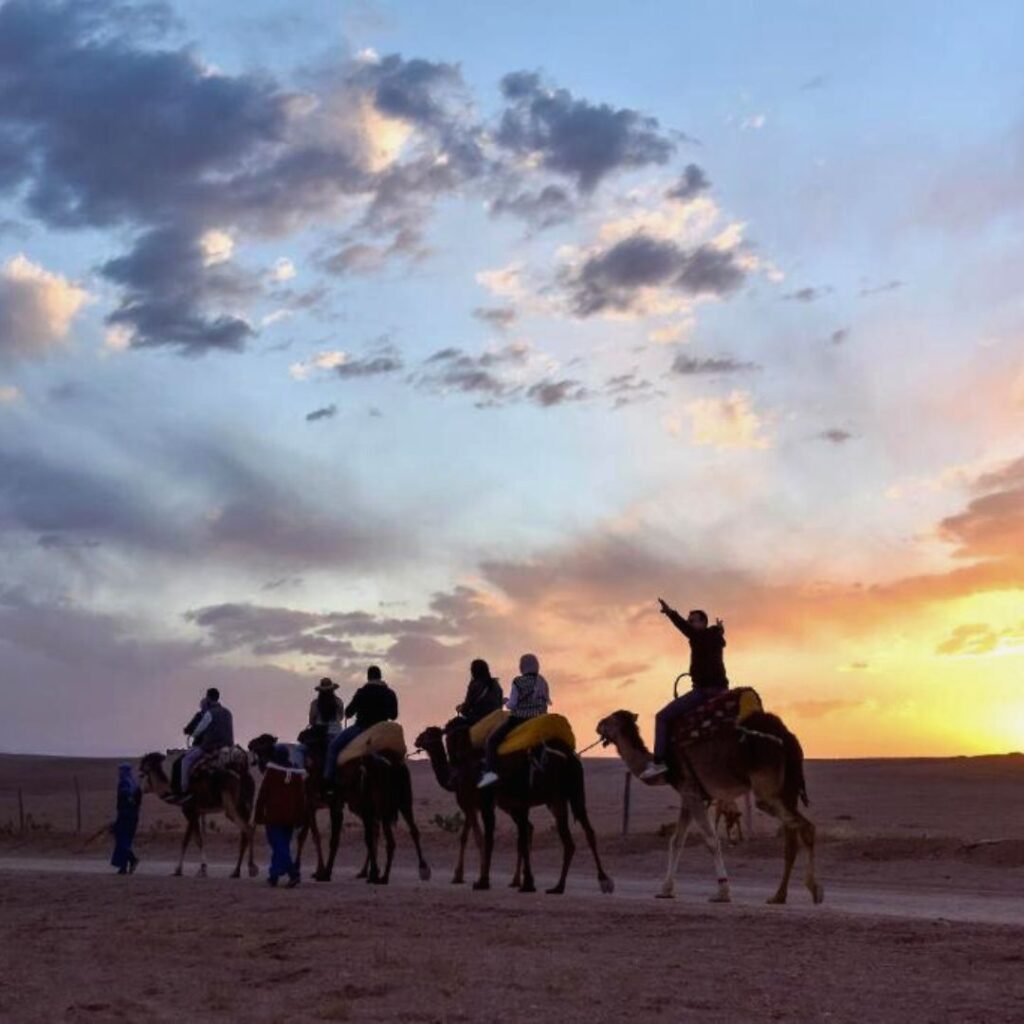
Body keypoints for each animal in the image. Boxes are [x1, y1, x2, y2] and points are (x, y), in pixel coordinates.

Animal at [598, 708, 819, 901]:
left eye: (610, 719)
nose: (598, 725)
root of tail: (788, 738)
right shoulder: (690, 796)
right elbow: (676, 841)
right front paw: (666, 890)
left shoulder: (691, 791)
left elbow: (711, 840)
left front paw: (723, 892)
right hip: (787, 787)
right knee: (791, 840)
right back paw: (778, 896)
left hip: (767, 787)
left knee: (805, 826)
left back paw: (814, 890)